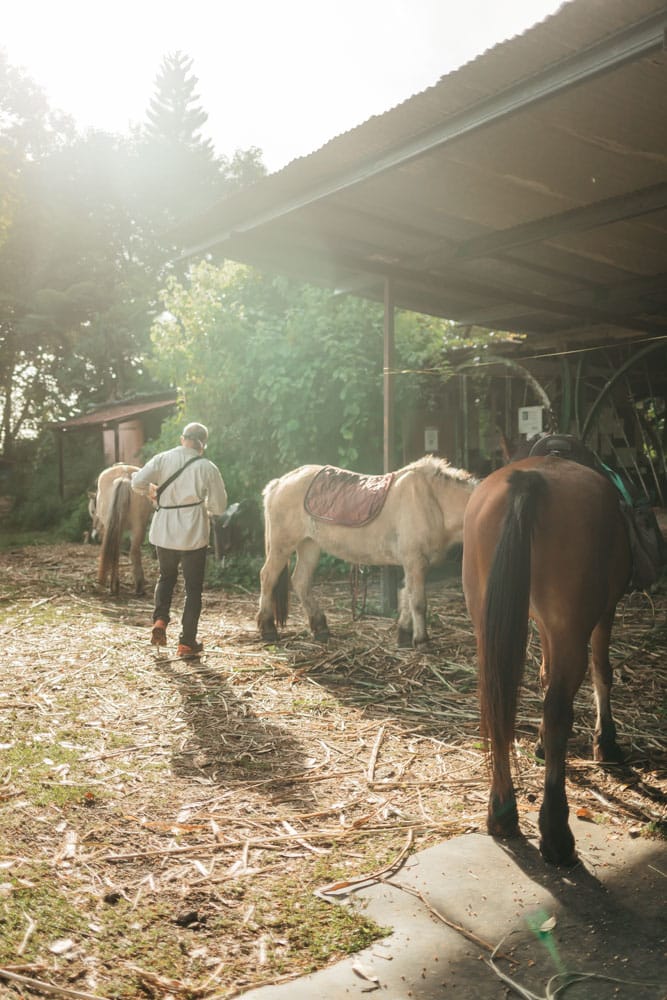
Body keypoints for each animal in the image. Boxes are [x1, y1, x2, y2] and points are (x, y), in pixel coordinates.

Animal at [256, 456, 474, 644]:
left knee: (301, 581)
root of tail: (279, 483)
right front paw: (421, 640)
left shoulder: (413, 564)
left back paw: (320, 628)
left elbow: (407, 595)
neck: (434, 502)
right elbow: (418, 601)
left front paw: (404, 635)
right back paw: (268, 629)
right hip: (282, 546)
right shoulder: (415, 561)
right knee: (268, 577)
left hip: (309, 545)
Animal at [462, 458, 636, 864]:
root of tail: (528, 481)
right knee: (558, 711)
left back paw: (501, 812)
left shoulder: (543, 625)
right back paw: (555, 832)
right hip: (572, 629)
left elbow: (543, 676)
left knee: (497, 704)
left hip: (488, 625)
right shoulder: (604, 612)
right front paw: (606, 743)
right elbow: (602, 672)